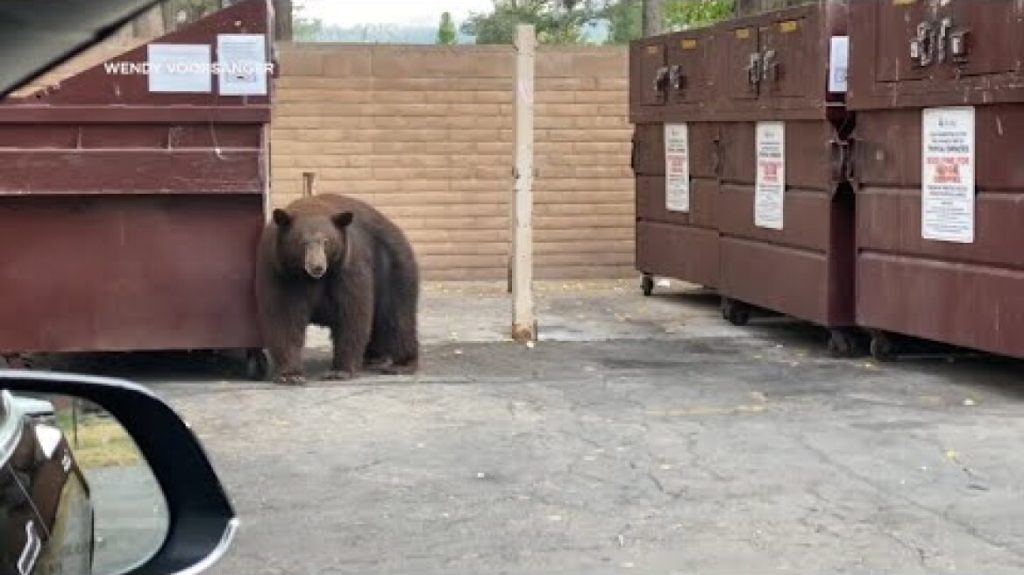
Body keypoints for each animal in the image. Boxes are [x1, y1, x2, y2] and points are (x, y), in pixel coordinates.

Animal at [253, 192, 417, 384]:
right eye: (302, 242)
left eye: (326, 241)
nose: (317, 266)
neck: (310, 278)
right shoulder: (281, 273)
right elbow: (284, 316)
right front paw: (290, 374)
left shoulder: (347, 267)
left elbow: (351, 313)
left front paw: (340, 371)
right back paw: (373, 357)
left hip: (391, 267)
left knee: (397, 317)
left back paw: (401, 363)